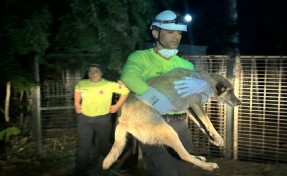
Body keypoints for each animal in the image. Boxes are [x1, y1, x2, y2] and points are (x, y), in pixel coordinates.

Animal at [102, 68, 242, 171]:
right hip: (169, 132)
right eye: (230, 91)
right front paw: (216, 136)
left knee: (183, 153)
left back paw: (198, 158)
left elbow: (202, 124)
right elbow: (208, 123)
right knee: (184, 155)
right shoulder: (196, 104)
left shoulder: (190, 108)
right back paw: (207, 166)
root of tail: (123, 120)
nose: (239, 102)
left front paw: (216, 140)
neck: (206, 80)